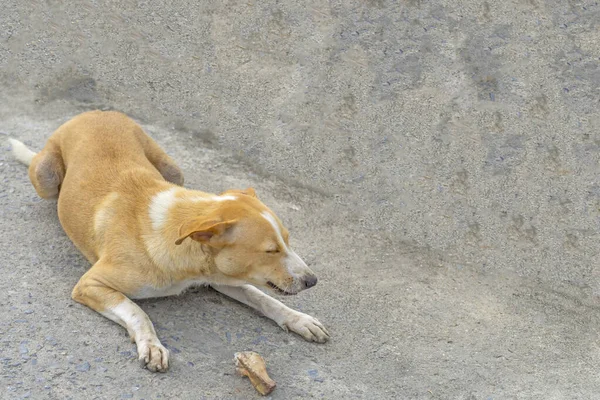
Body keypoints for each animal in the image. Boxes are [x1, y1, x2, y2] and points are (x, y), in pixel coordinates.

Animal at [8, 110, 328, 372]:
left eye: (287, 240)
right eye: (270, 250)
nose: (312, 281)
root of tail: (93, 112)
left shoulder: (220, 275)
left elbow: (262, 297)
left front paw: (299, 319)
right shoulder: (90, 284)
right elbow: (137, 312)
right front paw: (151, 346)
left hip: (173, 168)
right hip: (45, 177)